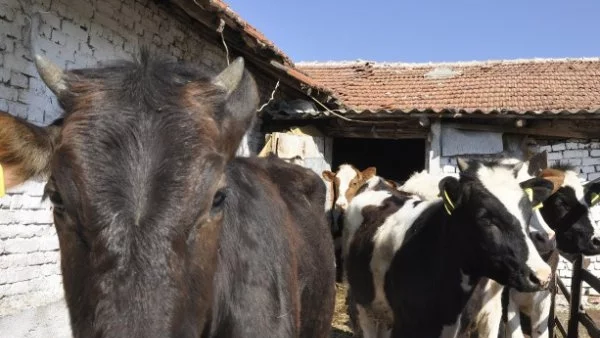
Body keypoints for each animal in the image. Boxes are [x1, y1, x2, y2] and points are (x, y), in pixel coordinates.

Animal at [344, 159, 556, 338]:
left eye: (528, 213)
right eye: (484, 217)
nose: (542, 275)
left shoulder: (482, 318)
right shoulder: (406, 325)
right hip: (364, 304)